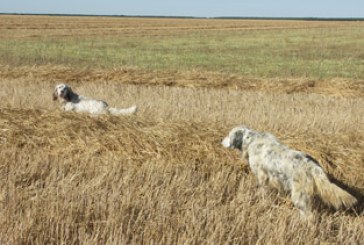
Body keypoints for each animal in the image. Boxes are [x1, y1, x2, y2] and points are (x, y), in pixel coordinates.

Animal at [220, 125, 356, 215]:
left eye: (229, 134)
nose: (221, 141)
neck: (252, 140)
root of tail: (313, 166)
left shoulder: (262, 177)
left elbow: (263, 191)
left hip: (299, 196)